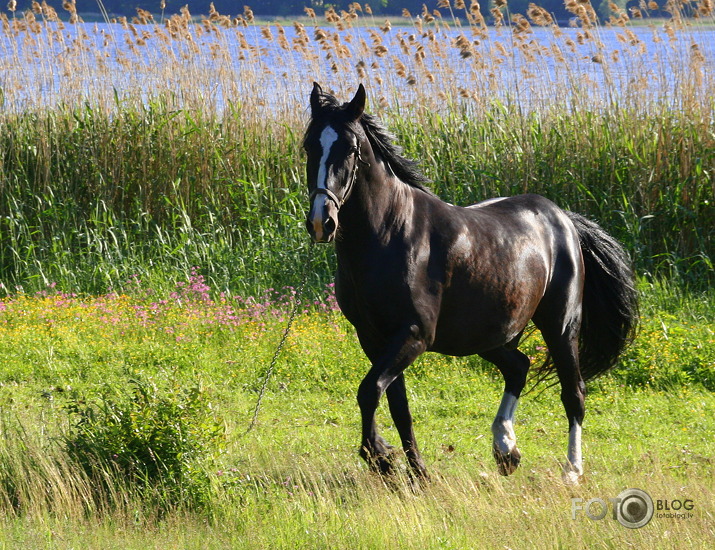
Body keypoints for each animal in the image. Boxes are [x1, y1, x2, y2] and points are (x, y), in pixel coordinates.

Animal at [302, 82, 636, 484]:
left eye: (350, 149)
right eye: (309, 146)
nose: (322, 222)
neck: (390, 234)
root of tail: (564, 219)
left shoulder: (413, 335)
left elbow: (369, 392)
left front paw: (380, 457)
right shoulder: (374, 337)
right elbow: (397, 404)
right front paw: (415, 471)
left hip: (560, 326)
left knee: (574, 393)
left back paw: (571, 470)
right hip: (489, 335)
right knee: (518, 367)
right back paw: (506, 450)